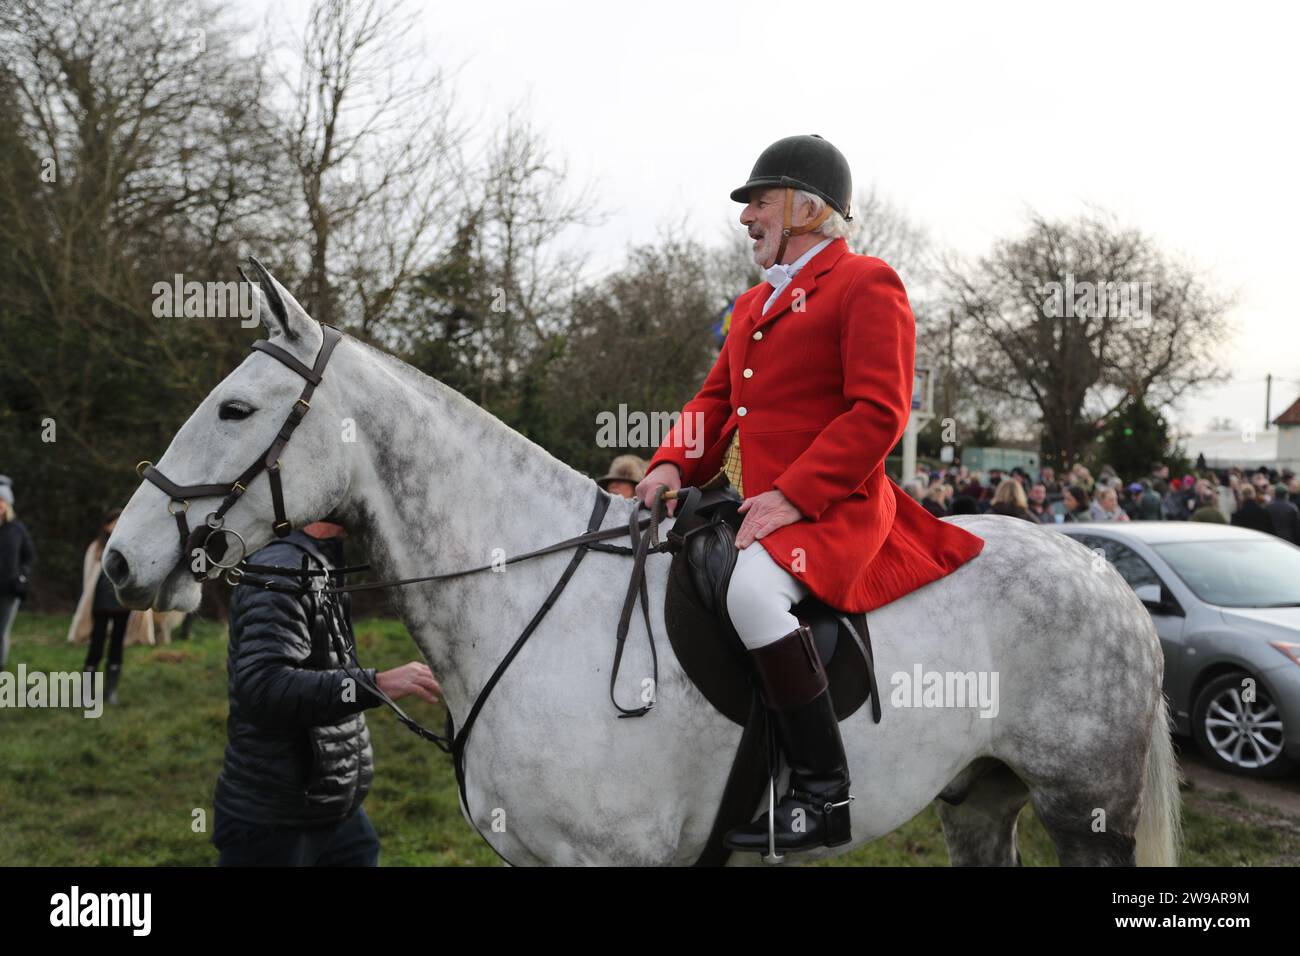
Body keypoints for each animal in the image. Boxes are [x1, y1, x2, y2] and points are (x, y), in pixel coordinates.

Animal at [104, 264, 1180, 868]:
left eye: (235, 408)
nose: (118, 560)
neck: (525, 599)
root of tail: (1105, 575)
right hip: (979, 799)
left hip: (1084, 812)